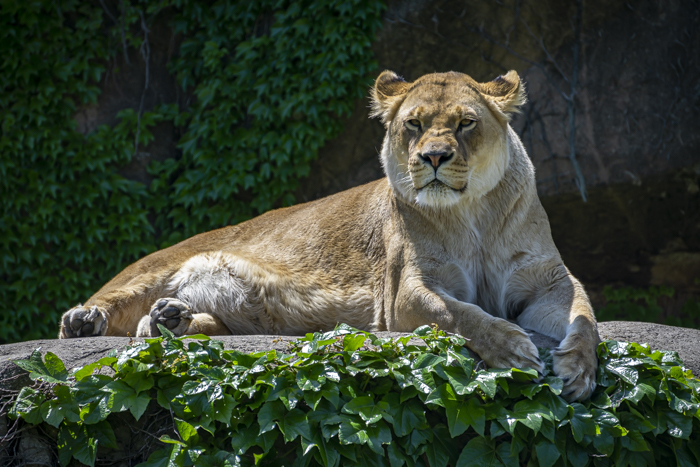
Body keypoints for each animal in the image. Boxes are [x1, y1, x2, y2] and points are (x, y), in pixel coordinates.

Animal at [60, 70, 599, 401]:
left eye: (466, 123)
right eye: (414, 124)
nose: (434, 156)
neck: (473, 215)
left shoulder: (548, 280)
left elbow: (584, 316)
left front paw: (579, 368)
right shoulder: (407, 293)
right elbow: (460, 313)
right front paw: (511, 348)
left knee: (169, 327)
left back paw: (170, 319)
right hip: (165, 263)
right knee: (116, 299)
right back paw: (86, 321)